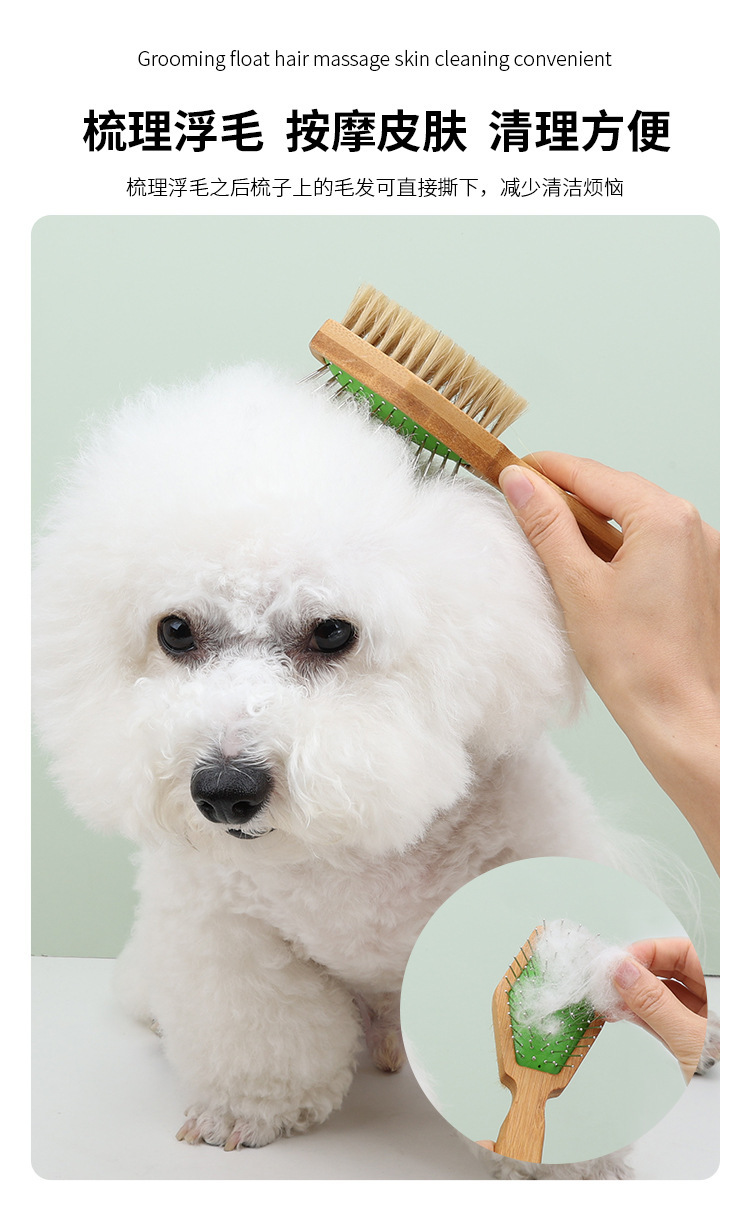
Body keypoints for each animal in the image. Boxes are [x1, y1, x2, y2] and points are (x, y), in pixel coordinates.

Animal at [32, 363, 707, 1177]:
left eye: (332, 632)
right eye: (175, 631)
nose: (223, 793)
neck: (350, 863)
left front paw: (575, 1161)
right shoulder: (223, 931)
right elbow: (259, 1028)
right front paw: (246, 1108)